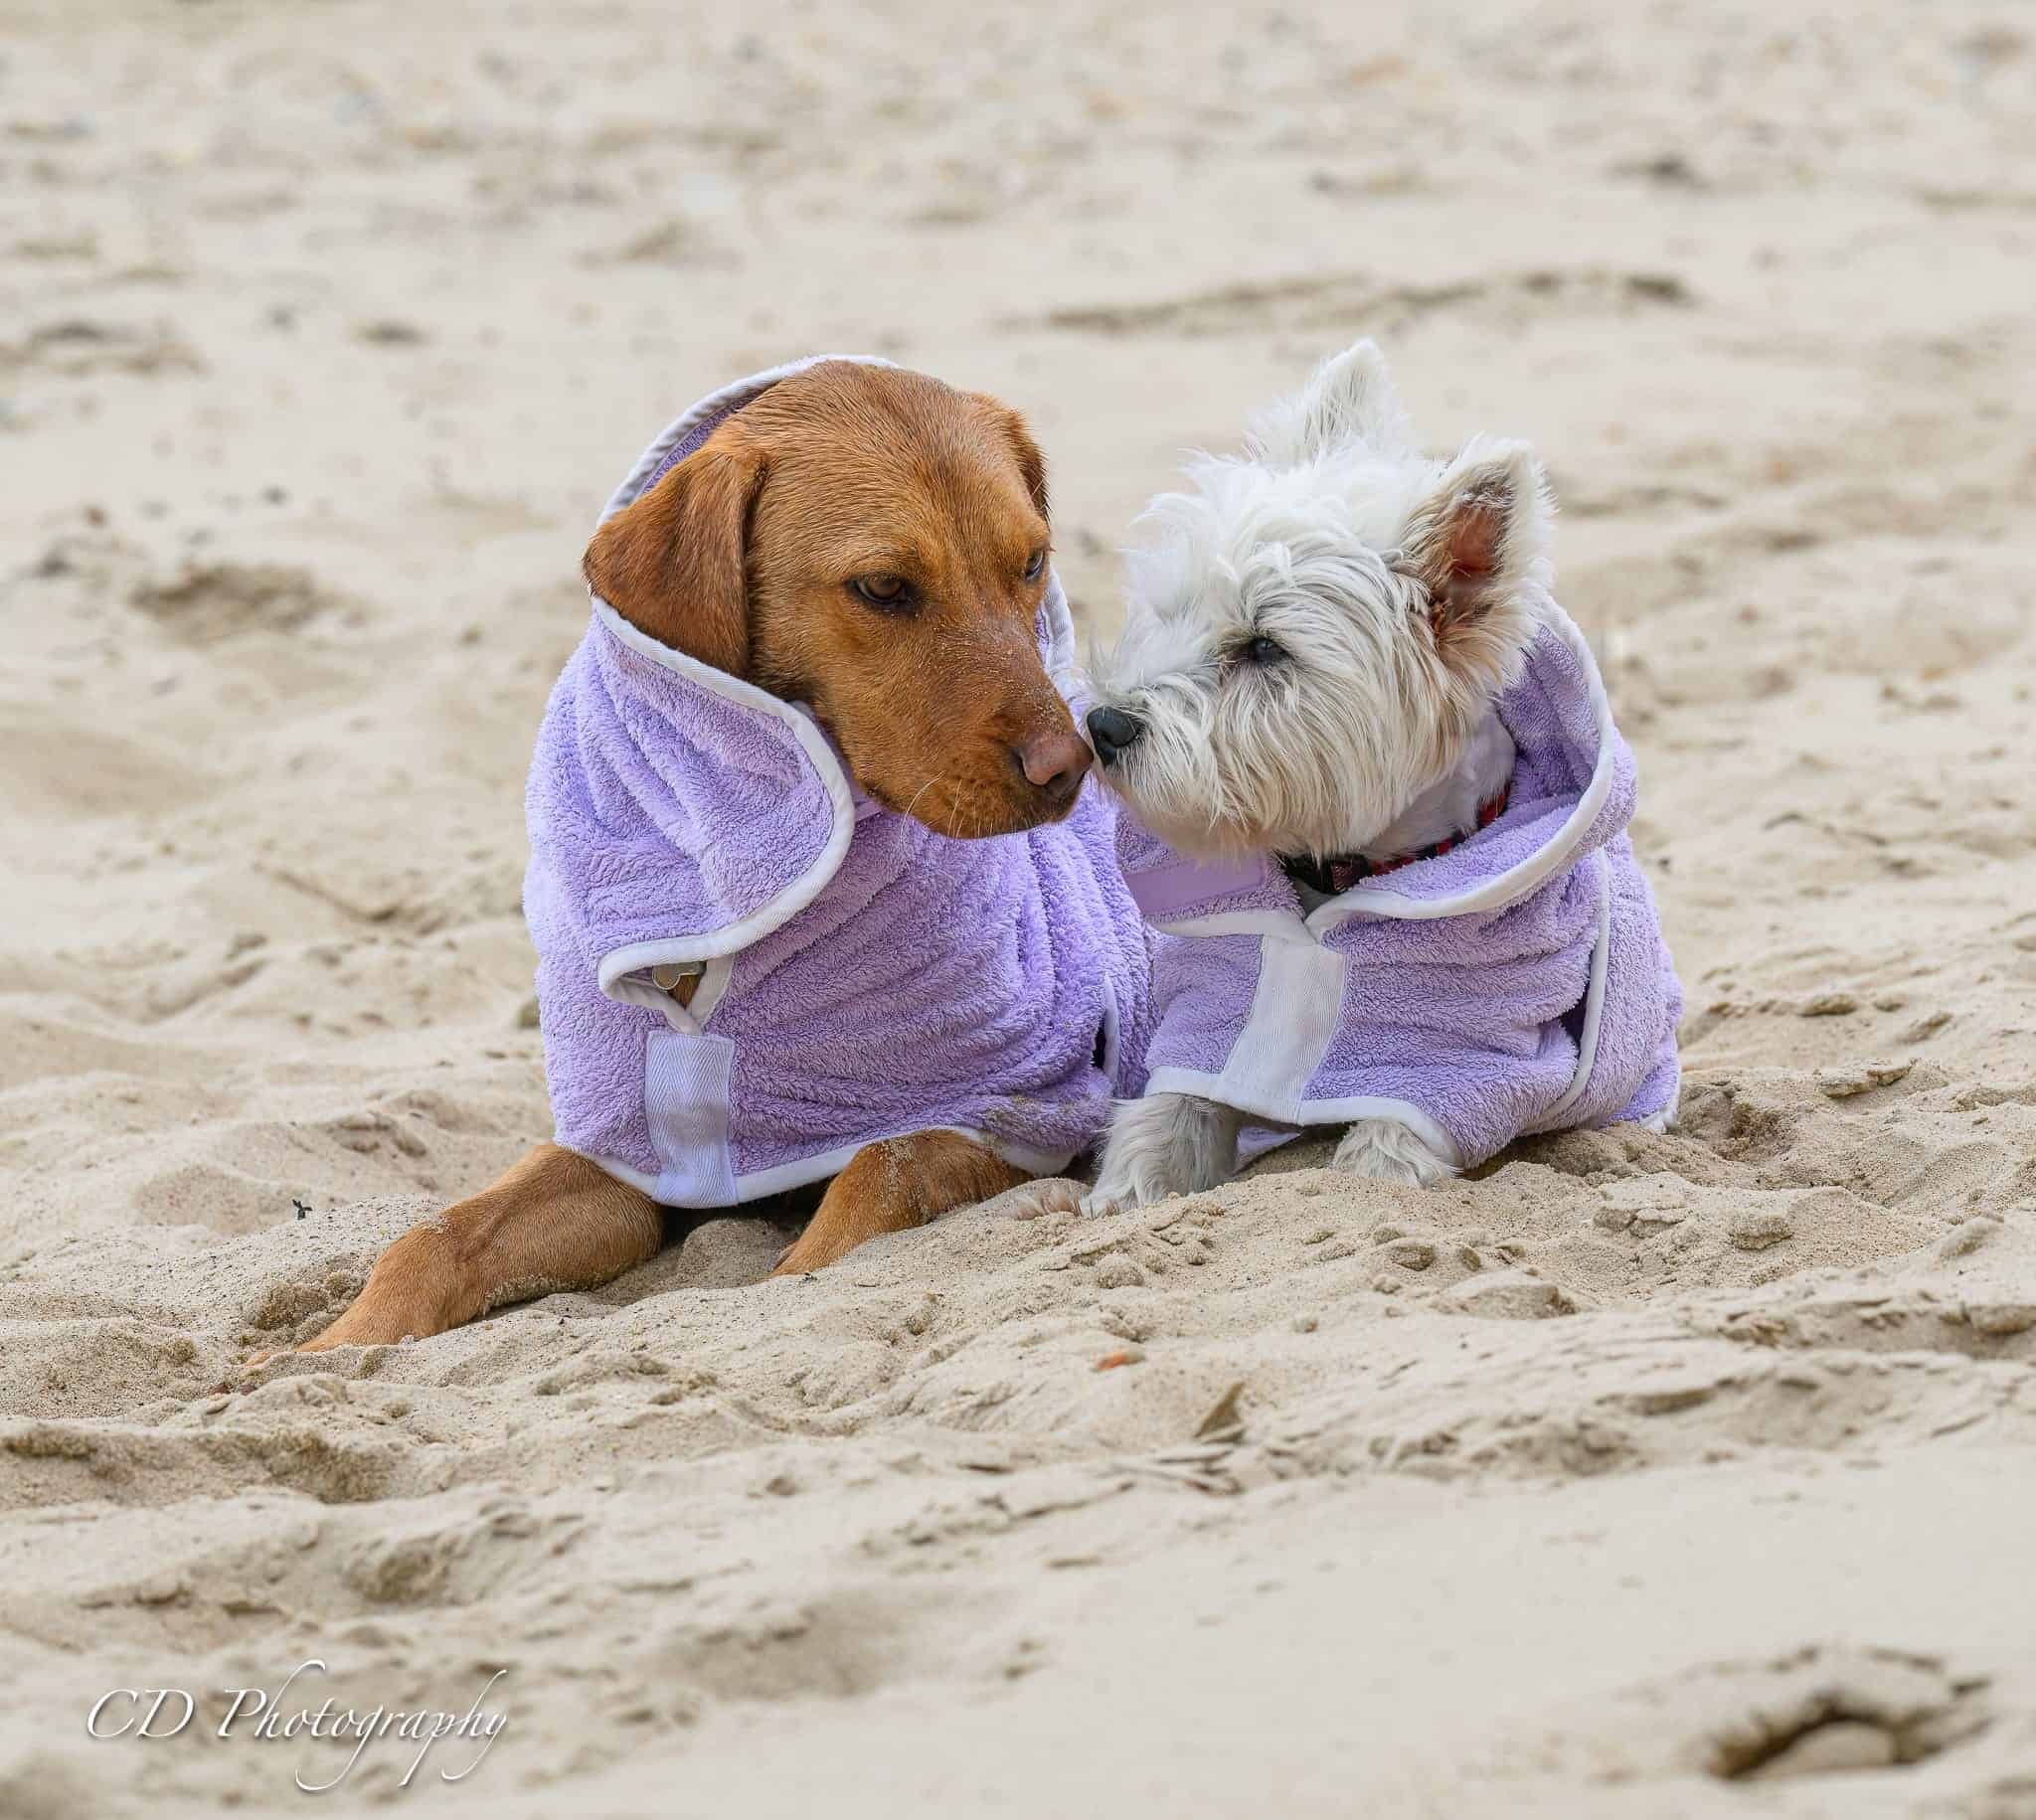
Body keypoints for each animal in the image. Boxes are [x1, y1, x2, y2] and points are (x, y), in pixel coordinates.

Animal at [282, 362, 1099, 1351]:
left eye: (1032, 563)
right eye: (882, 587)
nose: (1071, 766)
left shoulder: (1017, 1105)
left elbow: (876, 1178)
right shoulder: (625, 1155)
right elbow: (434, 1237)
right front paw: (330, 1348)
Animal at [1067, 342, 1685, 1221]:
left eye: (1265, 647)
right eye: (1173, 610)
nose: (1105, 727)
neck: (1341, 872)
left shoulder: (1459, 1055)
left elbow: (1383, 1157)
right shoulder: (1210, 1019)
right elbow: (1167, 1114)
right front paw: (1123, 1197)